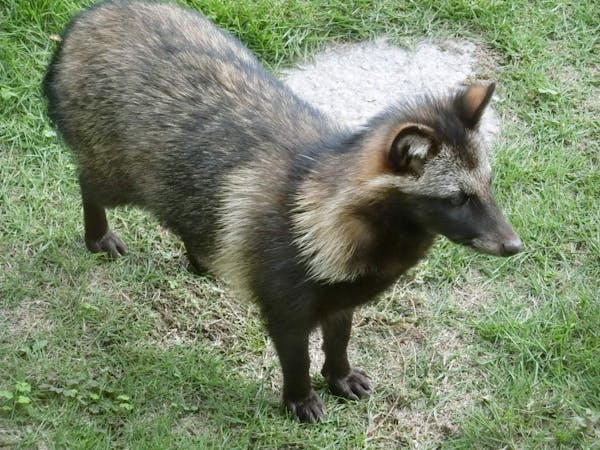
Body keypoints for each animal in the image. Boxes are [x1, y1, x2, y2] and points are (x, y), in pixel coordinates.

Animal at [43, 0, 520, 422]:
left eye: (489, 184)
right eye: (456, 198)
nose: (514, 246)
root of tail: (90, 16)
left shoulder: (342, 290)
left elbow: (339, 335)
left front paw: (339, 371)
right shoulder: (285, 293)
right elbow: (294, 353)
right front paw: (299, 395)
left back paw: (199, 253)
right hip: (118, 169)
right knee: (91, 182)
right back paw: (96, 231)